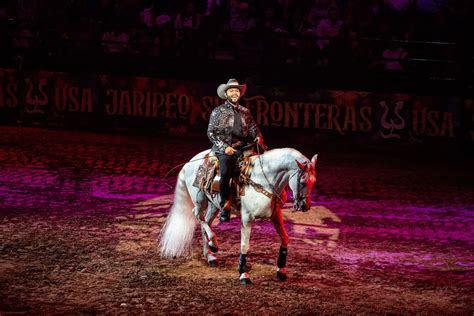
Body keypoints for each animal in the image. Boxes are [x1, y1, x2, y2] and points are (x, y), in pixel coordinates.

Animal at [159, 148, 318, 284]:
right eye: (302, 182)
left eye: (314, 182)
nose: (305, 206)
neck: (264, 179)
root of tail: (189, 163)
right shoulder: (247, 218)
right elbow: (244, 245)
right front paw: (243, 273)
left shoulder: (275, 215)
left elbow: (285, 238)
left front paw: (281, 271)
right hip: (200, 200)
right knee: (197, 215)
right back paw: (213, 244)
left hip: (214, 205)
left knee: (207, 223)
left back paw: (210, 254)